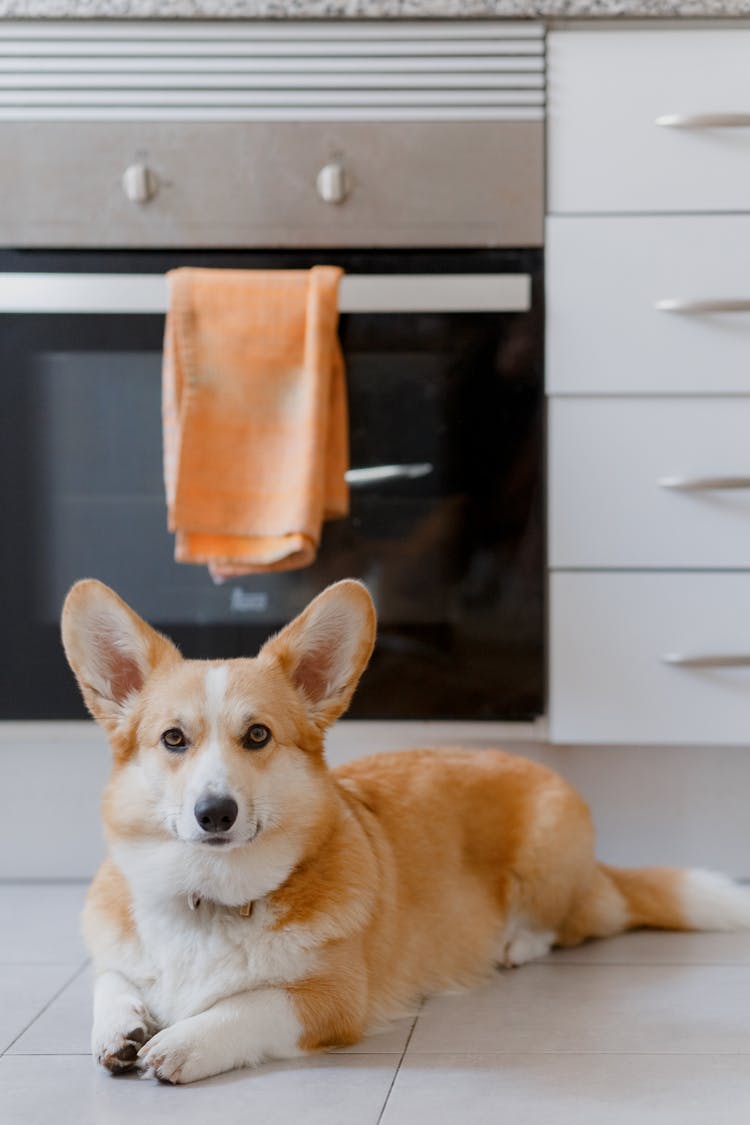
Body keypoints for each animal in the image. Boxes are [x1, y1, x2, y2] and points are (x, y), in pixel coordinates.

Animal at [62, 576, 750, 1084]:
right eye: (173, 739)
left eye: (256, 735)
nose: (215, 813)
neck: (208, 896)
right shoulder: (118, 953)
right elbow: (110, 980)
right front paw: (122, 1027)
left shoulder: (330, 1001)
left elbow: (245, 1006)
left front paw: (182, 1042)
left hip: (549, 859)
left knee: (566, 926)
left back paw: (516, 944)